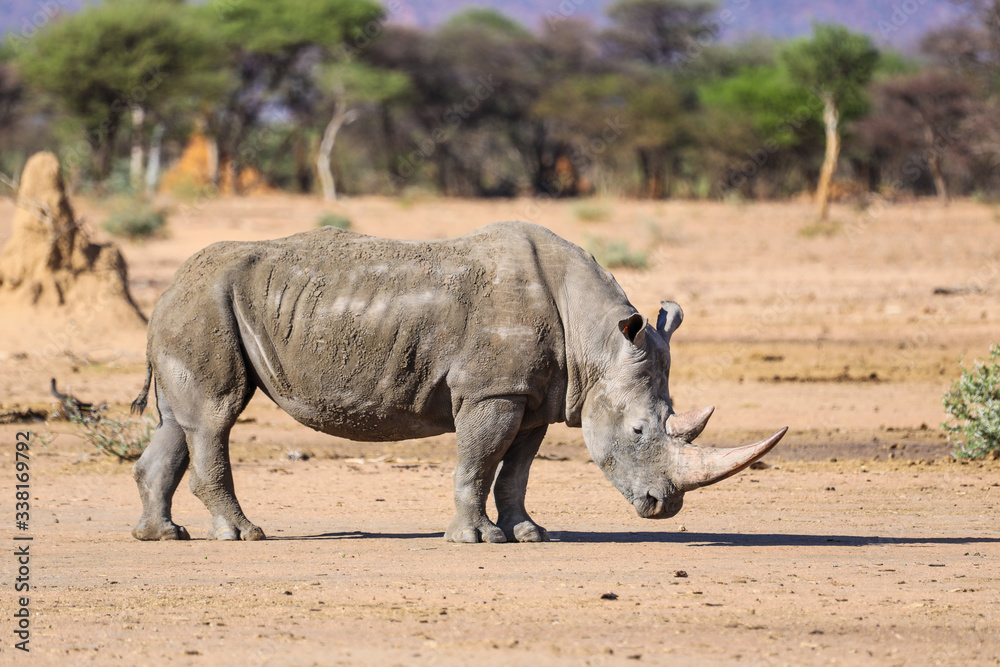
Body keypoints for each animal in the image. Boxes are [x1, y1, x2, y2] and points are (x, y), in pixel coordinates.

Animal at [130, 221, 785, 543]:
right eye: (641, 430)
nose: (663, 508)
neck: (595, 338)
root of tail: (170, 285)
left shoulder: (533, 396)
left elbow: (517, 471)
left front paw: (530, 535)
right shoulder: (492, 390)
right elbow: (477, 461)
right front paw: (475, 539)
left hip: (196, 305)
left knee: (178, 422)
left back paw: (163, 536)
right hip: (205, 304)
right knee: (215, 417)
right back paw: (242, 536)